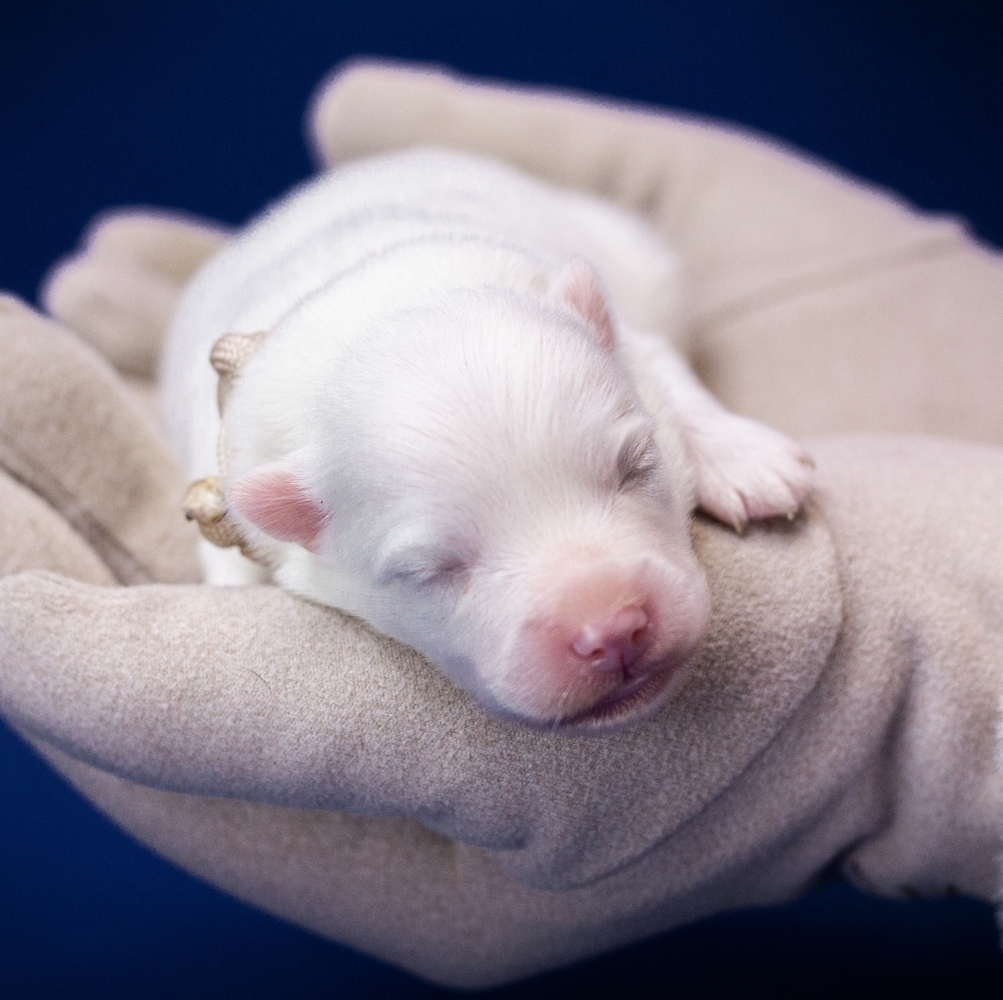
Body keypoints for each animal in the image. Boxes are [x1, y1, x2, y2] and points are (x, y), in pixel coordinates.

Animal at [161, 148, 813, 731]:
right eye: (432, 571)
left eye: (636, 465)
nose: (611, 630)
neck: (382, 307)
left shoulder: (635, 339)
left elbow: (669, 372)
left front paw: (750, 461)